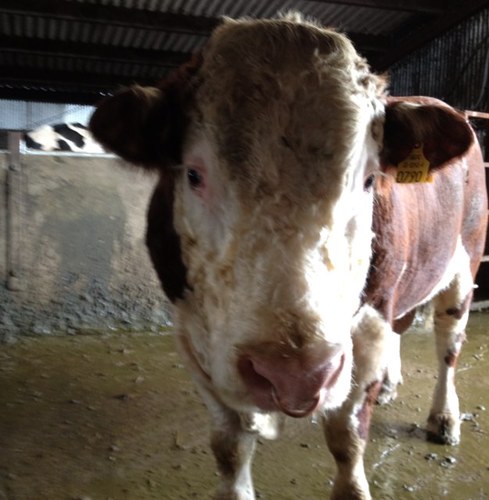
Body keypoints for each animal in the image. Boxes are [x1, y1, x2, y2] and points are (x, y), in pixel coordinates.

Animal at [89, 13, 486, 498]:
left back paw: (443, 417)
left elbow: (346, 435)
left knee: (448, 344)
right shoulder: (193, 331)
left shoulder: (368, 324)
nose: (294, 374)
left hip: (465, 266)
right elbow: (230, 444)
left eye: (368, 180)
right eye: (194, 175)